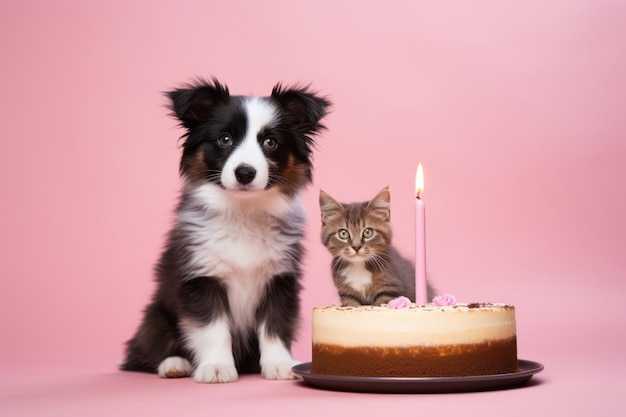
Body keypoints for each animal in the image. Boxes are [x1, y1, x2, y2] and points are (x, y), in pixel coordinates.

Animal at [119, 76, 330, 382]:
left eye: (270, 142)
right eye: (225, 139)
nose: (245, 173)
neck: (243, 212)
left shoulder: (280, 279)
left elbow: (275, 324)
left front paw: (280, 364)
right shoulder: (202, 277)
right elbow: (212, 327)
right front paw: (217, 367)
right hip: (155, 316)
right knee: (143, 351)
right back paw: (174, 364)